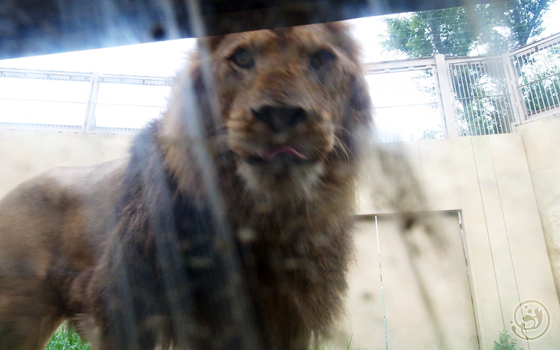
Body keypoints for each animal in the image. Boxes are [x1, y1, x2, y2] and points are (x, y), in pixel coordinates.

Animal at [1, 22, 376, 350]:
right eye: (242, 58)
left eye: (321, 58)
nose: (280, 115)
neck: (262, 221)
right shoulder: (126, 310)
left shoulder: (283, 320)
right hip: (19, 318)